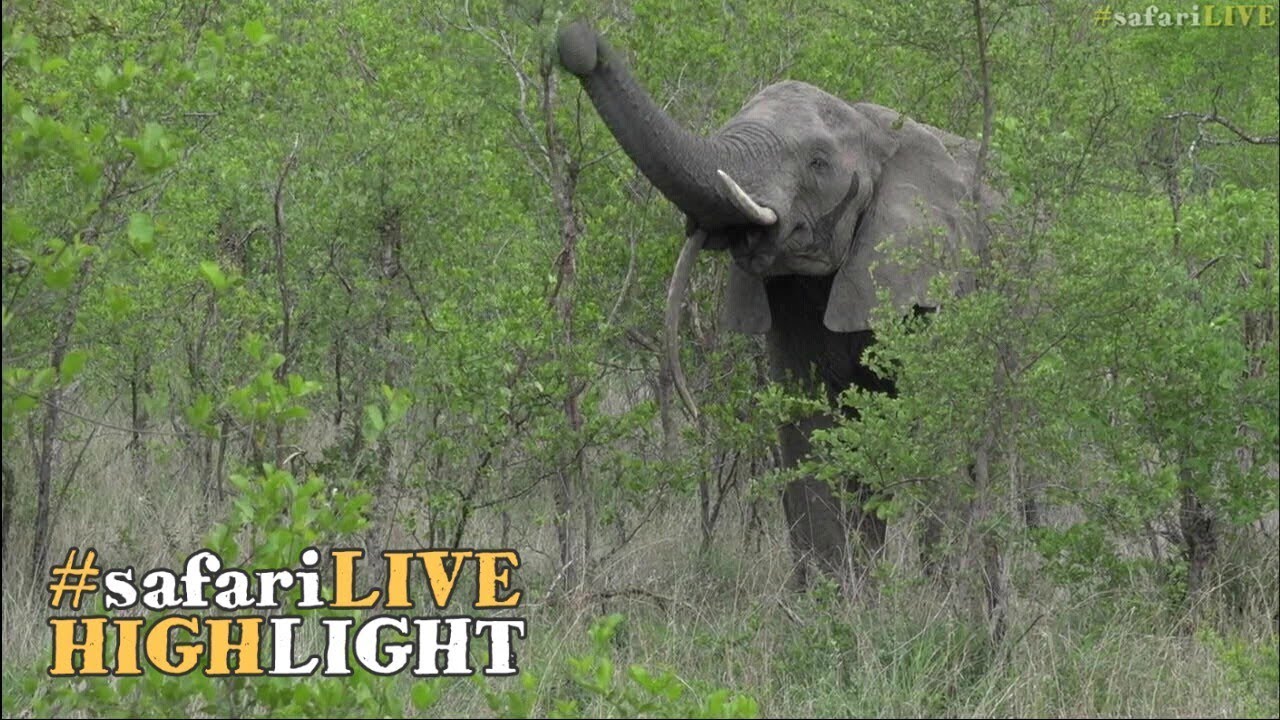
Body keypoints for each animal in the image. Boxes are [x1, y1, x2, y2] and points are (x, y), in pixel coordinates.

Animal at [555, 22, 991, 589]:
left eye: (819, 163)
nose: (577, 39)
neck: (881, 130)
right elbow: (811, 426)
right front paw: (834, 601)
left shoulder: (936, 277)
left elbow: (940, 420)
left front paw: (939, 597)